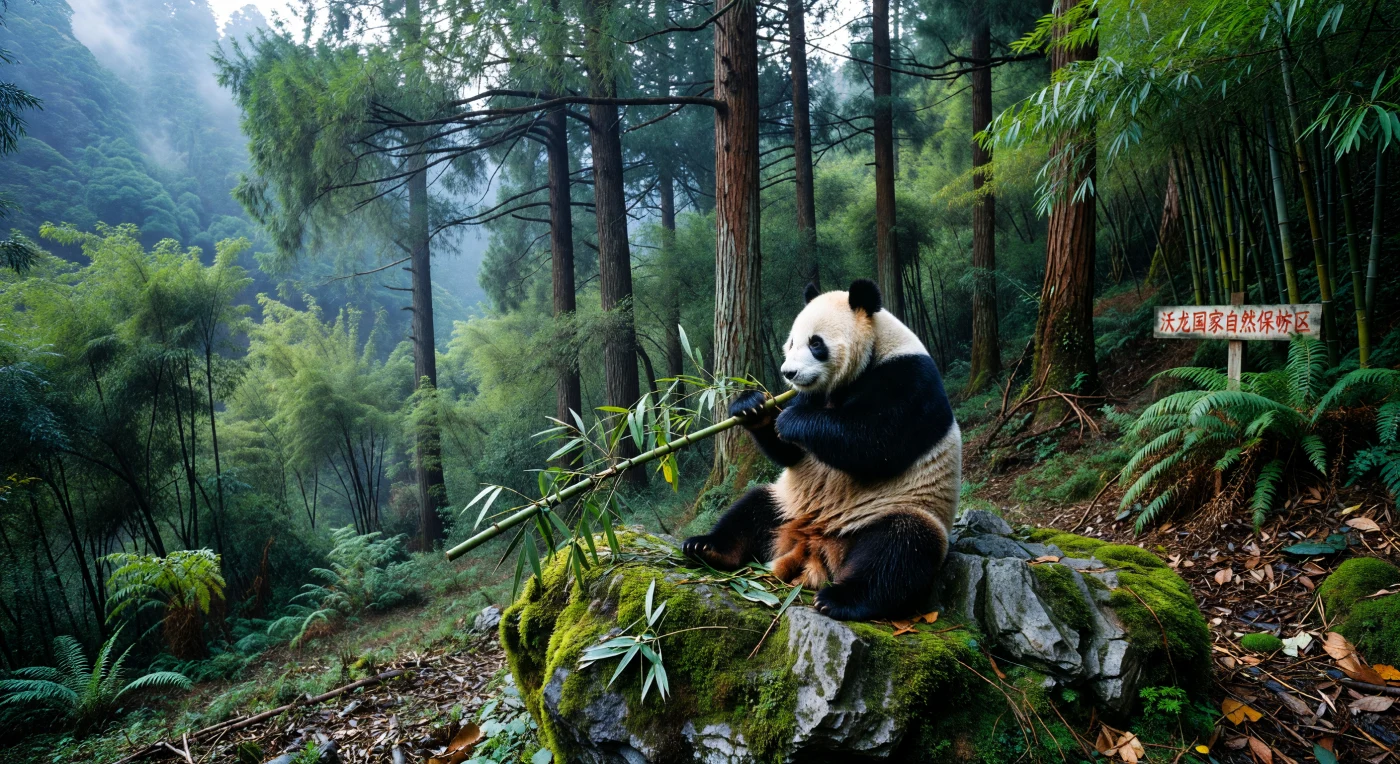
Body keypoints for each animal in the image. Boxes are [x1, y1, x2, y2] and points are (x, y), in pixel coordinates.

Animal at [682, 279, 961, 621]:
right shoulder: (812, 393)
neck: (875, 349)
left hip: (900, 508)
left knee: (898, 551)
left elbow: (876, 441)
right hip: (786, 503)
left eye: (816, 343)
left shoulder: (909, 379)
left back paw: (840, 598)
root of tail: (815, 544)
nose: (788, 373)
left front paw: (792, 420)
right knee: (750, 509)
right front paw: (752, 406)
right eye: (791, 342)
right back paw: (707, 548)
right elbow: (791, 455)